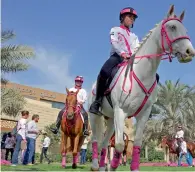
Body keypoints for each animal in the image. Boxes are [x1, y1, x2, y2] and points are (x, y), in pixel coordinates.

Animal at [88, 4, 195, 171]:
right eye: (172, 27)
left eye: (186, 30)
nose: (190, 52)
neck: (141, 73)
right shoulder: (121, 112)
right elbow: (120, 145)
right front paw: (114, 166)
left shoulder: (143, 115)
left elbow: (137, 144)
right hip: (95, 116)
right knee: (95, 139)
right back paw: (94, 165)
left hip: (111, 120)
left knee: (104, 143)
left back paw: (101, 167)